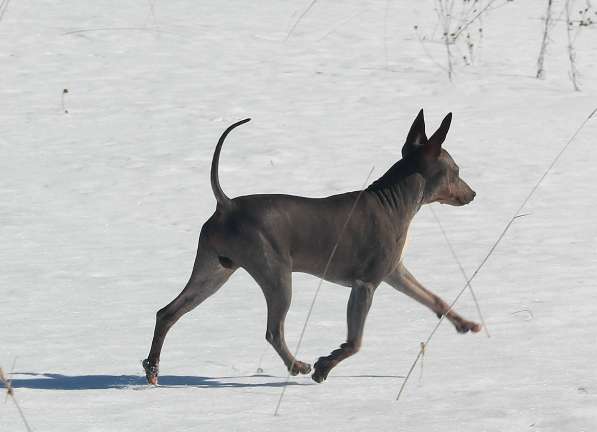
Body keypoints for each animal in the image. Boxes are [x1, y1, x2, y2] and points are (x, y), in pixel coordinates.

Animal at [143, 109, 480, 384]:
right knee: (273, 330)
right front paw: (324, 366)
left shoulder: (395, 273)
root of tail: (227, 205)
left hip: (214, 270)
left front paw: (464, 323)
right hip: (276, 274)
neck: (393, 200)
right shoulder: (365, 285)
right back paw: (297, 366)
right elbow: (355, 343)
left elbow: (433, 298)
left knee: (167, 313)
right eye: (457, 172)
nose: (473, 194)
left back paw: (153, 369)